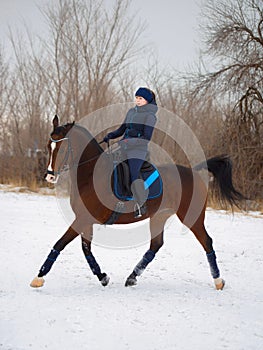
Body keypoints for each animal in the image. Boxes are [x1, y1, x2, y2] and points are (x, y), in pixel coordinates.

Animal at [29, 115, 244, 290]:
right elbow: (85, 249)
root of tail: (194, 172)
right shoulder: (85, 220)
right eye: (49, 146)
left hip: (192, 217)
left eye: (63, 147)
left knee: (206, 242)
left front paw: (38, 278)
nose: (49, 177)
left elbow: (60, 243)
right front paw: (102, 277)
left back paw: (218, 281)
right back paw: (132, 277)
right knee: (156, 245)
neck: (90, 176)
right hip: (159, 216)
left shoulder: (82, 219)